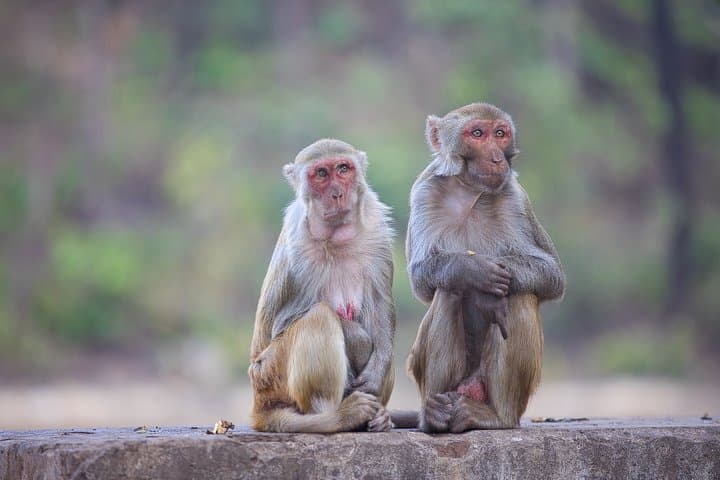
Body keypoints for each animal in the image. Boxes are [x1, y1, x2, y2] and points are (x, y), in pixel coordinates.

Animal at [248, 138, 396, 433]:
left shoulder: (377, 231)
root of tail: (260, 405)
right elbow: (283, 323)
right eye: (321, 174)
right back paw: (335, 417)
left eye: (343, 169)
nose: (337, 193)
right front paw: (358, 340)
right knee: (319, 316)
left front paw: (376, 368)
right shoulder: (298, 254)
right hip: (269, 375)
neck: (335, 237)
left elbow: (380, 305)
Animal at [405, 103, 565, 433]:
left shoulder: (516, 199)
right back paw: (434, 416)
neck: (469, 192)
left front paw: (486, 291)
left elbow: (551, 274)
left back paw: (496, 417)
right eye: (477, 134)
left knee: (519, 295)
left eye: (500, 134)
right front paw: (473, 270)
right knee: (448, 289)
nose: (495, 158)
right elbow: (422, 278)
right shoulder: (423, 192)